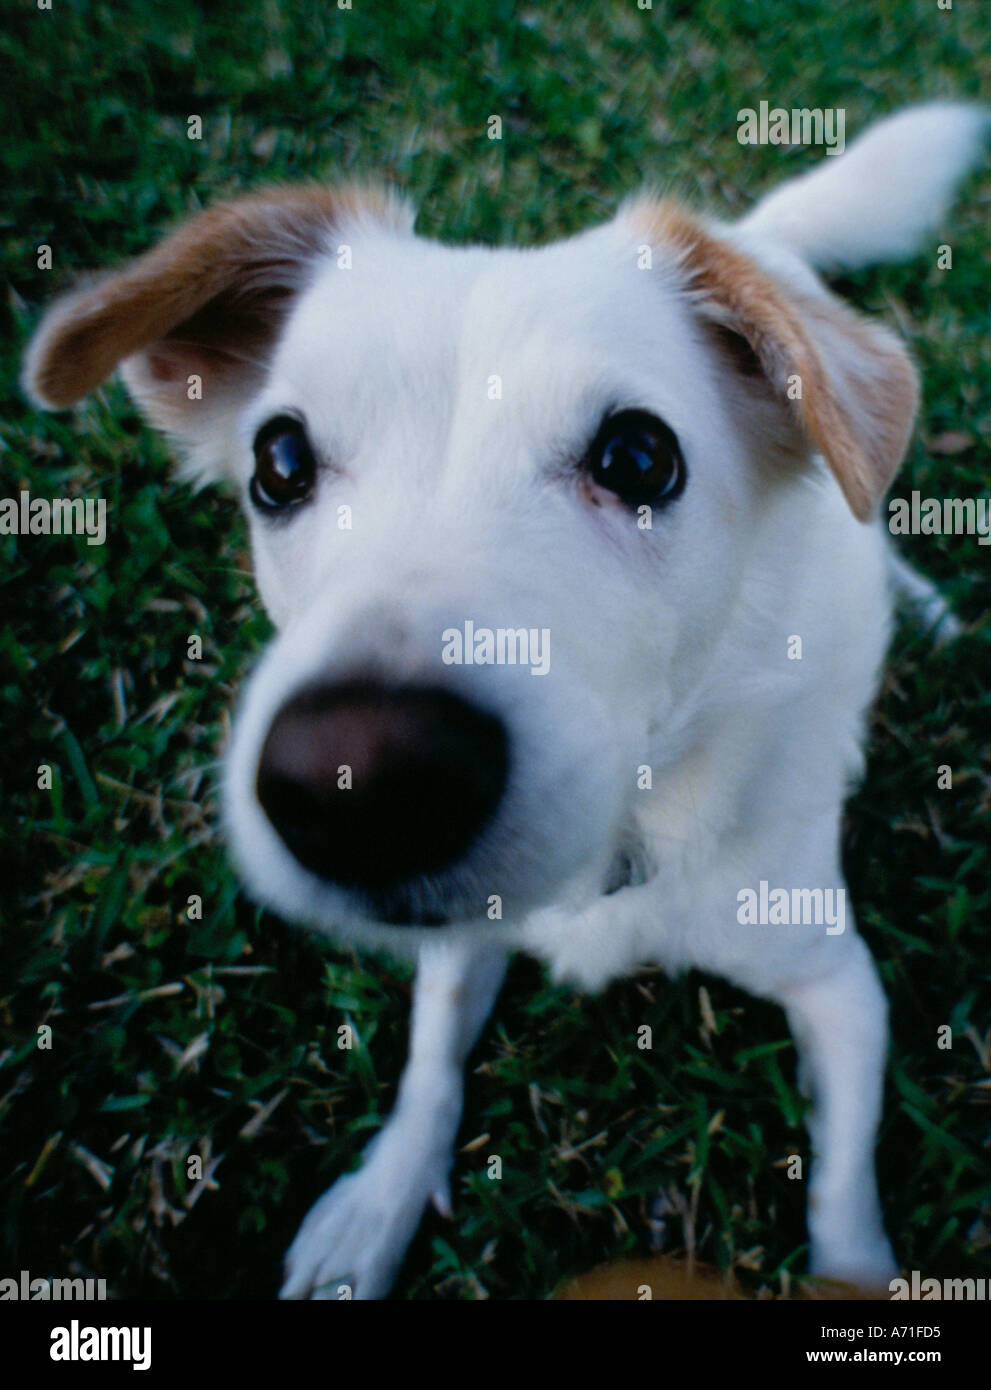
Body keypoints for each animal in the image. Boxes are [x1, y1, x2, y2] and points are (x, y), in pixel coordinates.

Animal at [19, 102, 984, 1295]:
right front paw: (377, 1202)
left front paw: (853, 1278)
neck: (623, 842)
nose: (359, 786)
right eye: (278, 463)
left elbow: (844, 1193)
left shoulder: (841, 988)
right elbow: (430, 1063)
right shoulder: (458, 937)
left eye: (638, 455)